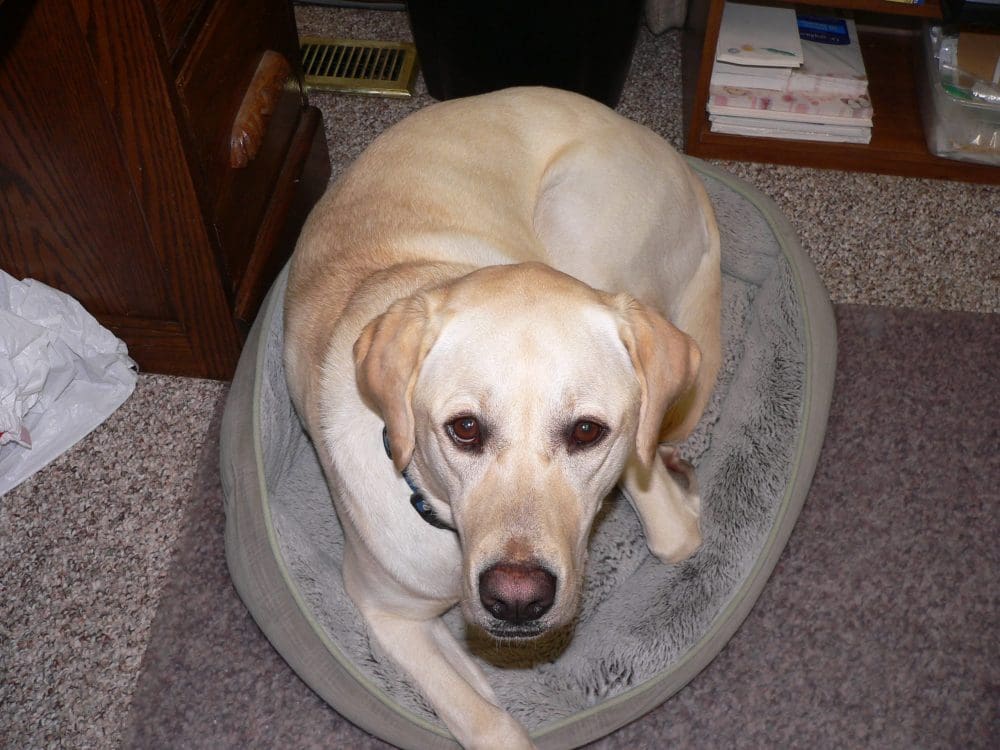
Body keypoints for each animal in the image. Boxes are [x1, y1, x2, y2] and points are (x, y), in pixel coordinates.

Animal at [283, 87, 720, 749]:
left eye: (587, 431)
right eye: (464, 428)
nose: (516, 600)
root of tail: (678, 161)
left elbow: (673, 525)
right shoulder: (384, 611)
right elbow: (487, 720)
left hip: (581, 229)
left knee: (674, 533)